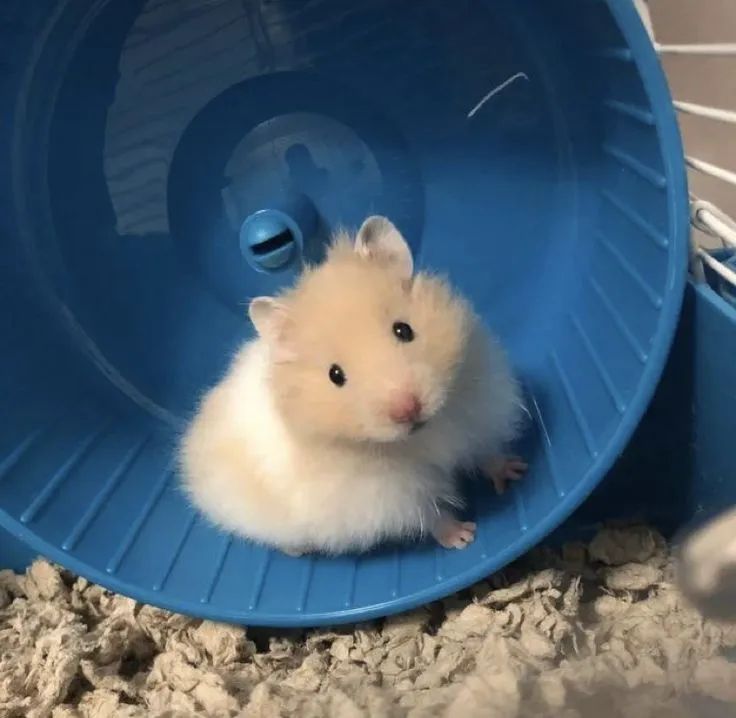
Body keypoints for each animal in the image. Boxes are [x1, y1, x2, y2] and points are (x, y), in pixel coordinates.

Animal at [180, 216, 526, 555]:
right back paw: (299, 551)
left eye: (404, 330)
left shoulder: (478, 417)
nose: (408, 409)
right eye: (335, 375)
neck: (423, 434)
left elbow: (487, 454)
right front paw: (464, 537)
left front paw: (516, 472)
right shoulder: (394, 496)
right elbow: (432, 514)